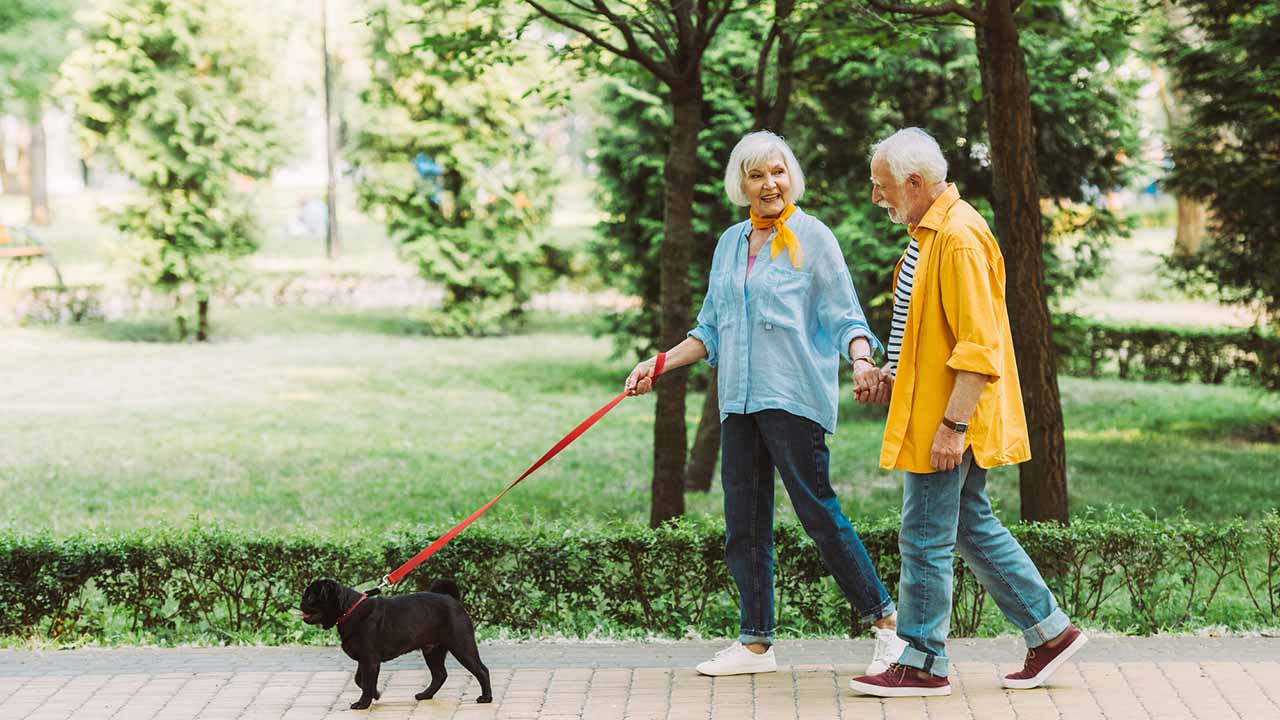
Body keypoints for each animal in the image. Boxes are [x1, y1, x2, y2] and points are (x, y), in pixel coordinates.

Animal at [300, 576, 494, 707]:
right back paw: (425, 695)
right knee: (440, 674)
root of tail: (453, 600)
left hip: (462, 647)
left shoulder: (370, 659)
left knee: (481, 670)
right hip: (432, 650)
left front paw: (363, 703)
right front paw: (376, 694)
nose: (301, 603)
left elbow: (367, 681)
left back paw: (486, 698)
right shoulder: (364, 659)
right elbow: (360, 679)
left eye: (310, 597)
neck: (349, 609)